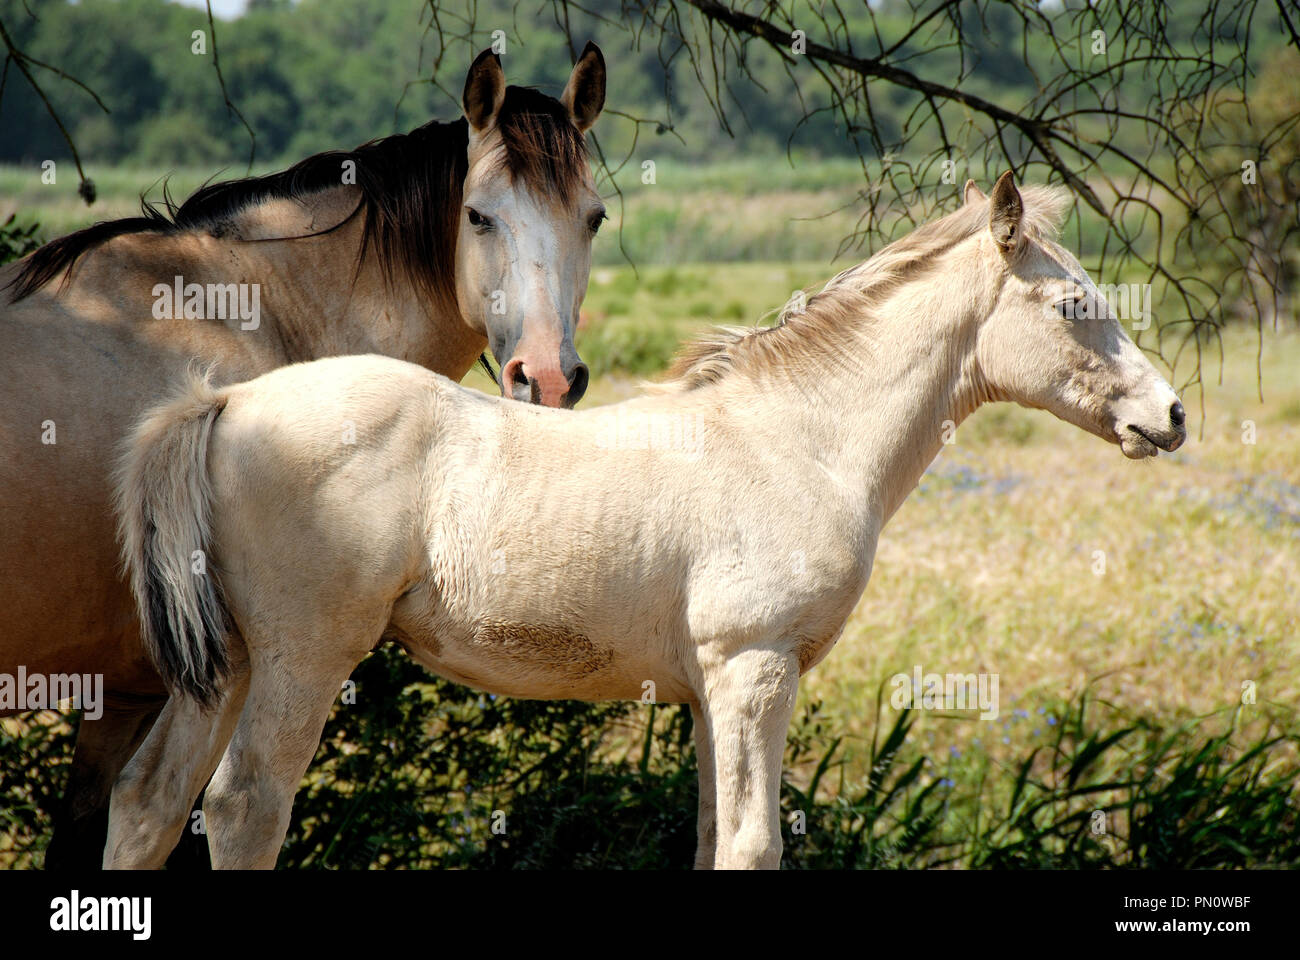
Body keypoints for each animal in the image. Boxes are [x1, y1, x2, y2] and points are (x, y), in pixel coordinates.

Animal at [0, 42, 608, 868]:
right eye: (479, 215)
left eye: (594, 218)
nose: (545, 376)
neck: (249, 308)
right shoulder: (172, 680)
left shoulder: (144, 687)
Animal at [107, 174, 1187, 869]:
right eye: (1075, 305)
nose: (1170, 415)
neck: (796, 438)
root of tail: (224, 404)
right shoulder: (755, 669)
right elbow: (752, 845)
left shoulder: (712, 693)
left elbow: (712, 839)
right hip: (304, 655)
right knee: (245, 807)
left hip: (229, 662)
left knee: (149, 800)